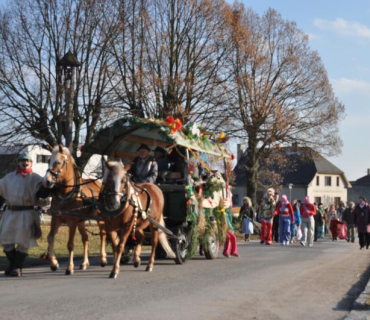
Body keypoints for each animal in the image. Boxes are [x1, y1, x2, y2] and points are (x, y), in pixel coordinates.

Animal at [42, 146, 108, 274]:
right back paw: (84, 263)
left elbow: (70, 244)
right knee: (85, 238)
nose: (46, 181)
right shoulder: (56, 218)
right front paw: (54, 263)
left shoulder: (72, 221)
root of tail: (98, 183)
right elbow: (50, 237)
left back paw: (103, 259)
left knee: (103, 234)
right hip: (81, 221)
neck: (65, 195)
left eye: (58, 162)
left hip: (100, 218)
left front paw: (69, 267)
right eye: (48, 161)